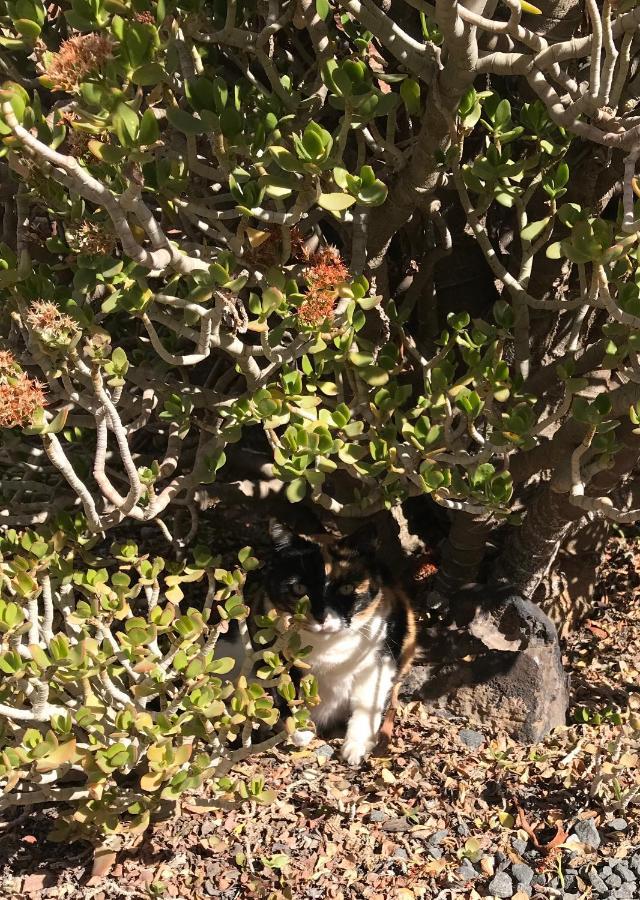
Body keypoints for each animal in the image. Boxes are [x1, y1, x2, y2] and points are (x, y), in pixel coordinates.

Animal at [264, 520, 416, 768]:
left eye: (346, 588)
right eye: (299, 589)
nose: (322, 617)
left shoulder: (379, 659)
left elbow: (367, 703)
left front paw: (357, 747)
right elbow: (284, 689)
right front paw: (301, 731)